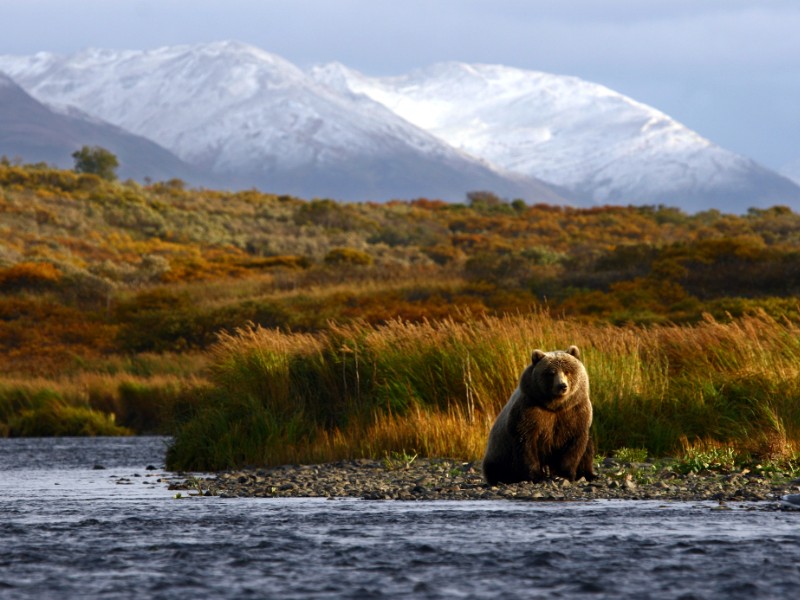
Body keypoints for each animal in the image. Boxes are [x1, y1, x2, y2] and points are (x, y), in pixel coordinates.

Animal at [482, 344, 592, 486]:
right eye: (551, 373)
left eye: (567, 371)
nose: (562, 386)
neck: (555, 406)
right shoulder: (530, 411)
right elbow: (526, 443)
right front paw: (536, 476)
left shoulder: (575, 411)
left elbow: (574, 444)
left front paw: (564, 474)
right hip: (499, 452)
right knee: (497, 468)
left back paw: (589, 475)